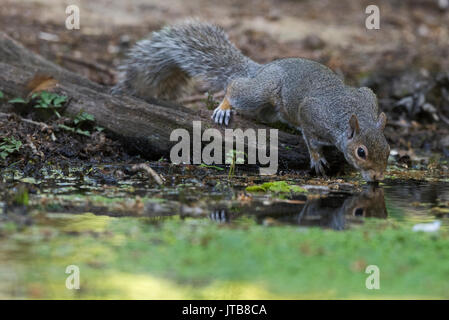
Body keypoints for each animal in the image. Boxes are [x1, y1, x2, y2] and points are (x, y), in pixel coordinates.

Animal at [112, 19, 388, 180]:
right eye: (361, 152)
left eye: (387, 149)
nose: (378, 179)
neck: (351, 116)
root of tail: (260, 69)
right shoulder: (313, 113)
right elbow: (310, 136)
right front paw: (317, 157)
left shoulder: (368, 97)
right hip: (261, 92)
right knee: (235, 86)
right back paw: (224, 106)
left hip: (269, 107)